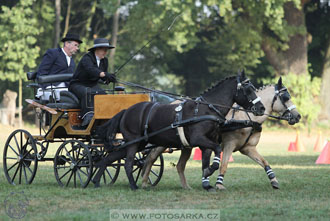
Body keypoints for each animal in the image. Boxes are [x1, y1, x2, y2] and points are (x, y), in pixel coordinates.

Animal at [92, 71, 266, 189]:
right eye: (248, 89)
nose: (261, 108)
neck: (206, 109)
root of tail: (125, 111)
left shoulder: (206, 142)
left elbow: (207, 160)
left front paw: (207, 182)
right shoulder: (199, 139)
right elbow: (216, 151)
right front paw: (209, 172)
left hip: (136, 143)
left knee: (110, 158)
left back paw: (96, 181)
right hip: (133, 143)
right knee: (128, 163)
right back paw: (133, 186)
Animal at [141, 77, 300, 190]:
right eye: (286, 97)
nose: (297, 116)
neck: (247, 118)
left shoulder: (248, 148)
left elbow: (265, 162)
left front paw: (274, 181)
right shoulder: (229, 145)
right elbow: (223, 165)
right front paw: (219, 184)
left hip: (186, 145)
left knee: (179, 165)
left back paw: (185, 186)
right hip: (163, 142)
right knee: (151, 158)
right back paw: (144, 181)